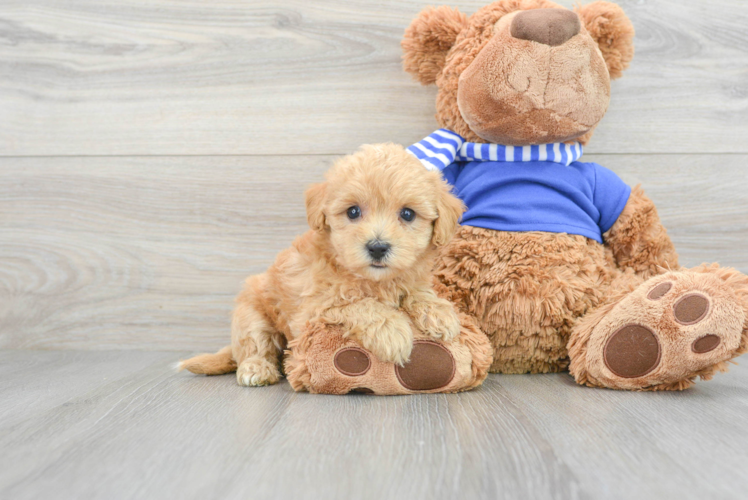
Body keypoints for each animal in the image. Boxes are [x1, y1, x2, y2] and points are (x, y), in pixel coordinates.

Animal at [178, 145, 464, 386]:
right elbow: (358, 305)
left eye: (407, 214)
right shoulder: (312, 311)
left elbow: (416, 291)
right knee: (255, 345)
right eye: (353, 212)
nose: (377, 247)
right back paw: (256, 369)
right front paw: (391, 331)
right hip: (252, 315)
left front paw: (439, 312)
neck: (374, 281)